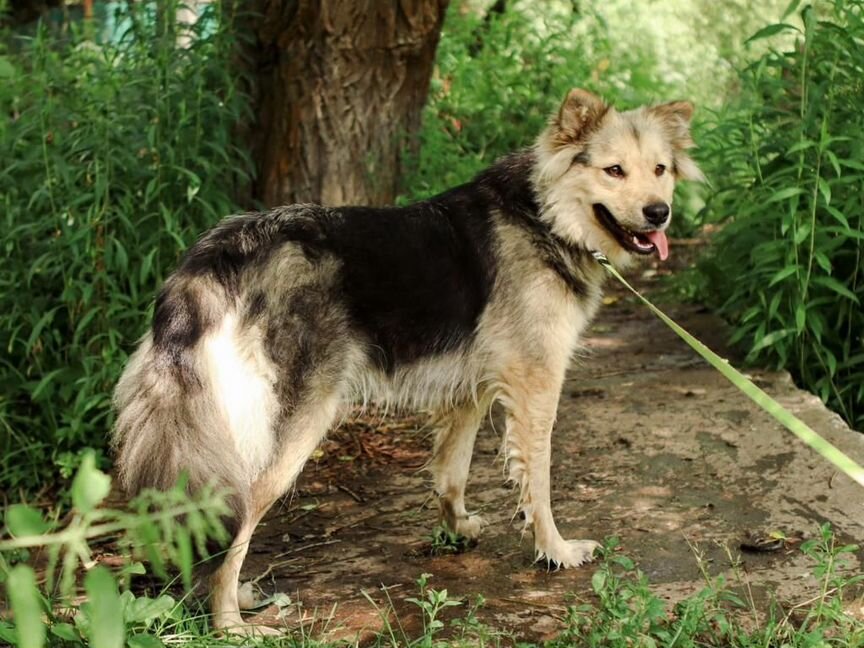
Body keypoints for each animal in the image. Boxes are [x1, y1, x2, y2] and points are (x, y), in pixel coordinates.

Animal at [111, 87, 704, 632]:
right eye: (613, 171)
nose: (659, 213)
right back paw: (232, 622)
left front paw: (457, 528)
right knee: (235, 520)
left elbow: (453, 471)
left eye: (659, 169)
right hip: (288, 430)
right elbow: (537, 480)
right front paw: (554, 550)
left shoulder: (472, 388)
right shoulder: (535, 384)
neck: (544, 214)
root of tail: (214, 259)